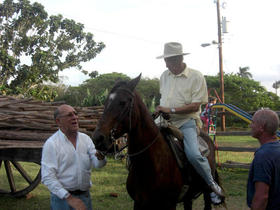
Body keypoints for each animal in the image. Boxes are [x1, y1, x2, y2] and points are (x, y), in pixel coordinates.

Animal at [93, 74, 224, 209]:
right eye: (105, 102)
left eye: (122, 102)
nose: (98, 138)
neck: (149, 165)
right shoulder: (139, 203)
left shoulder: (169, 204)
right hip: (188, 196)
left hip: (206, 190)